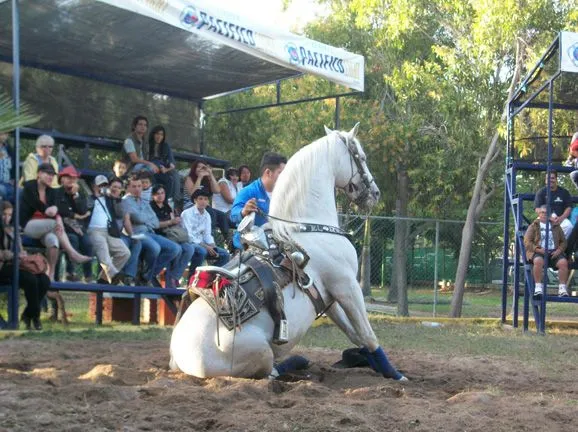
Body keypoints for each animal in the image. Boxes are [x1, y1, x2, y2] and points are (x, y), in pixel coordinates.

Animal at [170, 123, 404, 380]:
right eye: (361, 157)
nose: (375, 193)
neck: (307, 225)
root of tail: (184, 358)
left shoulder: (329, 298)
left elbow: (355, 334)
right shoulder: (347, 286)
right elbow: (368, 334)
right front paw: (395, 374)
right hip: (262, 353)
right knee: (271, 372)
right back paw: (297, 362)